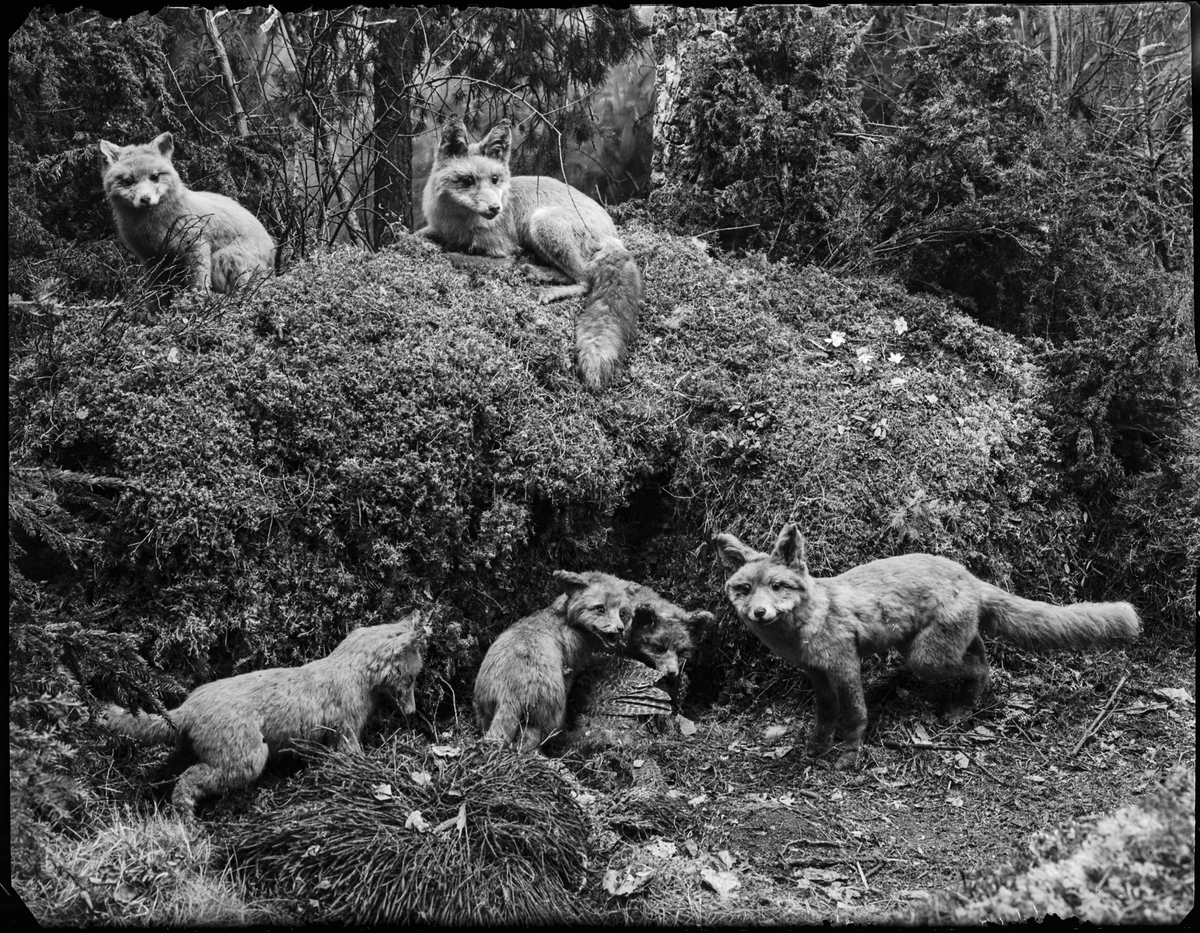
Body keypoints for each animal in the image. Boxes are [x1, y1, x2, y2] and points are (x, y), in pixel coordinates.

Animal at [99, 132, 275, 310]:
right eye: (128, 181)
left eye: (154, 177)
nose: (145, 199)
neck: (154, 228)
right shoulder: (152, 259)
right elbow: (156, 295)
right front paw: (156, 314)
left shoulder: (195, 247)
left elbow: (198, 285)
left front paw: (196, 306)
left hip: (223, 258)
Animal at [415, 114, 643, 390]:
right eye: (468, 181)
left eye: (495, 179)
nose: (496, 208)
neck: (459, 223)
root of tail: (614, 235)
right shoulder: (439, 228)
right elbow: (418, 235)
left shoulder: (504, 253)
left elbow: (457, 257)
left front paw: (444, 254)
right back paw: (537, 272)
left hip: (541, 223)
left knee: (585, 280)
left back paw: (545, 290)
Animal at [473, 570, 635, 751]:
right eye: (600, 608)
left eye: (622, 613)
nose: (620, 629)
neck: (566, 621)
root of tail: (509, 693)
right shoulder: (570, 670)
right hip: (545, 718)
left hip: (485, 711)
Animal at [715, 524, 1141, 770]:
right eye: (744, 589)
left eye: (777, 586)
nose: (759, 612)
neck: (810, 623)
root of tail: (970, 576)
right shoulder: (817, 673)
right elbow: (825, 717)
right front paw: (817, 749)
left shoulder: (845, 664)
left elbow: (854, 715)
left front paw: (850, 755)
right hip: (936, 647)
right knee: (980, 654)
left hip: (923, 659)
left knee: (980, 667)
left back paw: (963, 708)